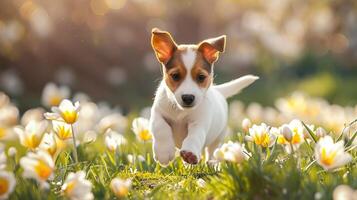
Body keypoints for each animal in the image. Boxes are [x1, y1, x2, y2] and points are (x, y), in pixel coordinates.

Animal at [149, 28, 258, 166]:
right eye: (175, 76)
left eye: (201, 77)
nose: (188, 98)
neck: (181, 112)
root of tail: (218, 90)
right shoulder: (157, 113)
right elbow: (161, 128)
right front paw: (163, 153)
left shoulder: (199, 123)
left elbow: (195, 137)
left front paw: (190, 153)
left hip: (218, 139)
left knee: (212, 152)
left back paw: (212, 164)